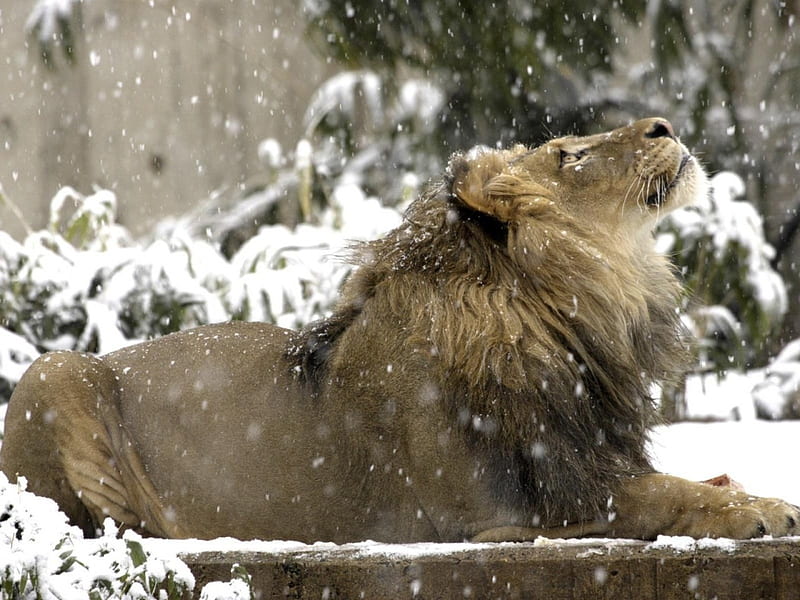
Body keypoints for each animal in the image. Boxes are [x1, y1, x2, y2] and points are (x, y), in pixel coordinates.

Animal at [1, 118, 800, 544]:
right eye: (568, 154)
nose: (663, 126)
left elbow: (695, 479)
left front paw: (757, 496)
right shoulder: (500, 513)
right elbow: (665, 497)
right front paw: (764, 512)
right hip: (56, 370)